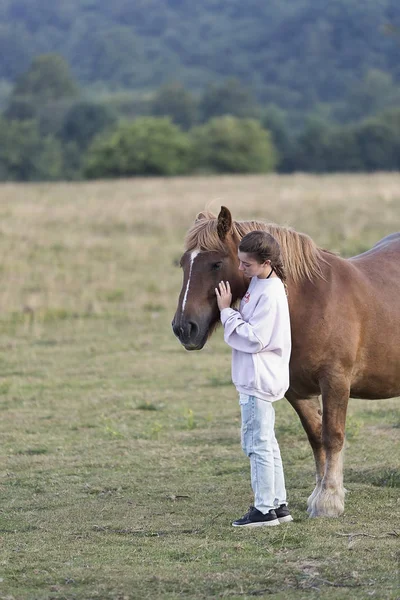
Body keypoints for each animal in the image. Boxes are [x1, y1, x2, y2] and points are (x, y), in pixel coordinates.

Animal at [173, 206, 400, 516]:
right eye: (184, 263)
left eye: (216, 264)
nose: (183, 328)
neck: (309, 303)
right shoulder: (296, 390)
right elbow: (315, 437)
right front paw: (320, 493)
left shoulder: (335, 382)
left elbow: (333, 436)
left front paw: (329, 500)